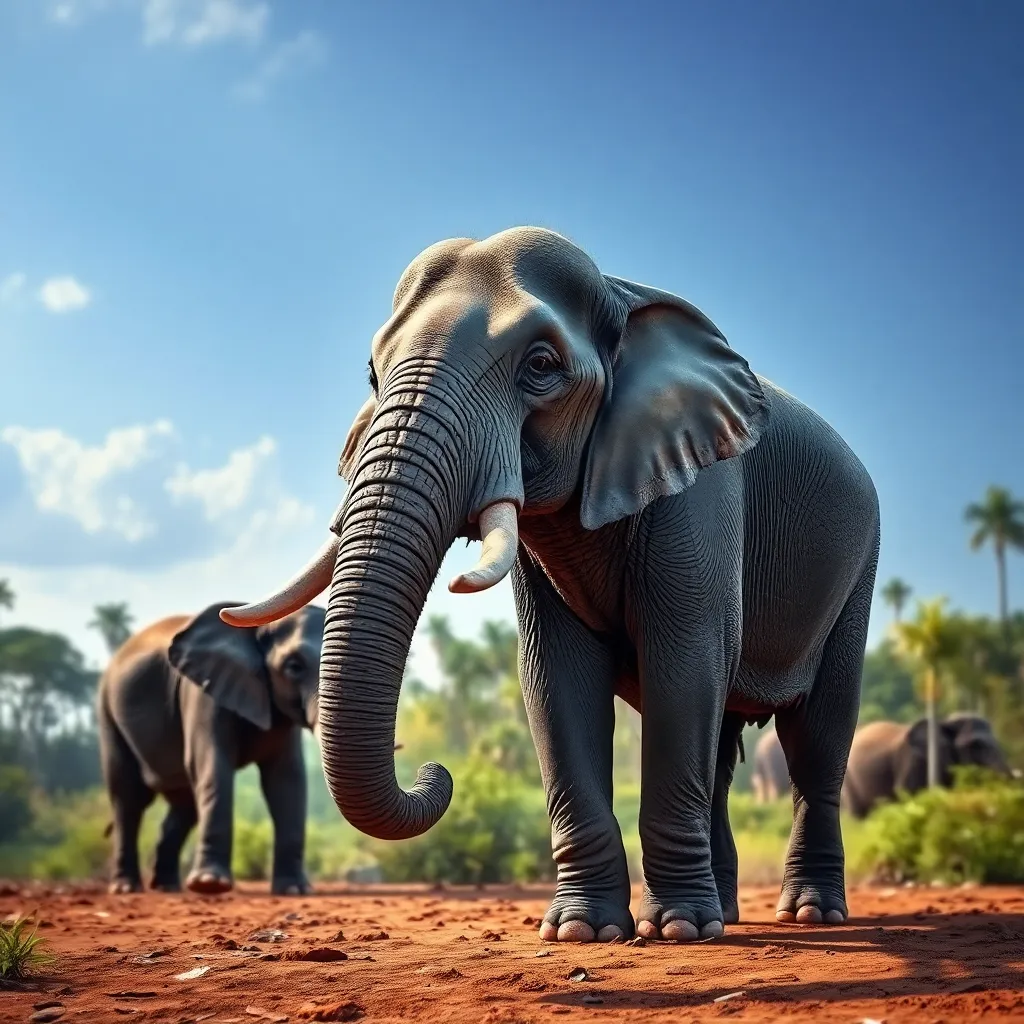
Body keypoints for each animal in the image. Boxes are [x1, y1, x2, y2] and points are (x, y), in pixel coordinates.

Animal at [97, 601, 325, 896]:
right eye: (294, 666)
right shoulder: (202, 693)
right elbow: (212, 765)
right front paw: (210, 885)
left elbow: (286, 779)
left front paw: (293, 890)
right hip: (108, 713)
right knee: (129, 797)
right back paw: (127, 888)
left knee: (184, 804)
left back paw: (167, 887)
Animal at [221, 226, 881, 942]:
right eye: (371, 373)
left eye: (540, 365)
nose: (433, 771)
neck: (620, 294)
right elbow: (556, 677)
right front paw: (582, 932)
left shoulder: (703, 486)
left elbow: (684, 661)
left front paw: (674, 931)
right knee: (724, 749)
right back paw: (727, 915)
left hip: (860, 564)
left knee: (816, 740)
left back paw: (809, 912)